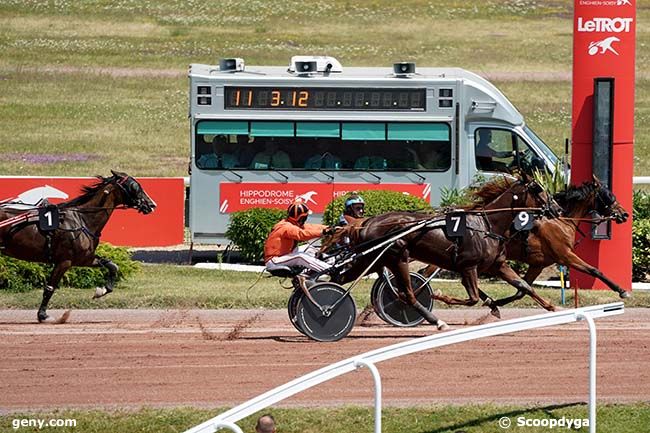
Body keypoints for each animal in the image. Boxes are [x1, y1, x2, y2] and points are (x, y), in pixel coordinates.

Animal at [0, 170, 156, 322]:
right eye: (135, 186)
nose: (152, 204)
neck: (82, 220)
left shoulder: (84, 258)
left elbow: (113, 266)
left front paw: (102, 290)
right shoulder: (64, 261)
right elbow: (50, 288)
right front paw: (43, 315)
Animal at [324, 176, 552, 328]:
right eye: (539, 190)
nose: (556, 208)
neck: (487, 225)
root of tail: (366, 222)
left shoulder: (497, 265)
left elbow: (523, 286)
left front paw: (551, 308)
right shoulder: (469, 266)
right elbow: (473, 298)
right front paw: (440, 295)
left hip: (375, 260)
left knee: (340, 277)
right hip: (397, 257)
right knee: (407, 295)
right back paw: (437, 321)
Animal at [420, 176, 628, 308]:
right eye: (608, 195)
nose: (624, 214)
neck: (560, 220)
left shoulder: (538, 264)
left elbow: (522, 289)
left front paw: (495, 303)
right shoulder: (565, 255)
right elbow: (594, 270)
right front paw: (622, 291)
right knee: (427, 272)